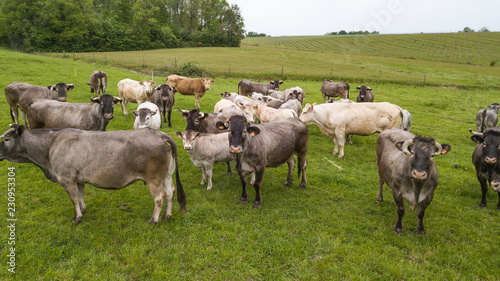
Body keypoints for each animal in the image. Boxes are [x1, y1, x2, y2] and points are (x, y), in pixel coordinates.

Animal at [0, 124, 187, 223]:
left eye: (6, 139)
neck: (51, 144)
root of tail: (160, 133)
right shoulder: (79, 178)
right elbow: (80, 195)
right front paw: (83, 209)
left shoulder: (67, 178)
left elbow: (73, 197)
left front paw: (77, 217)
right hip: (167, 176)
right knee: (170, 192)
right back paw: (167, 215)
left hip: (154, 179)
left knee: (159, 198)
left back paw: (154, 219)